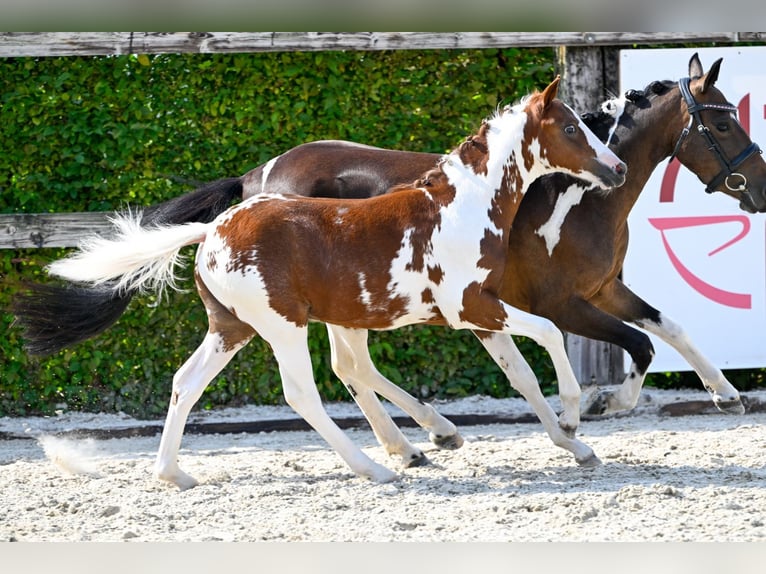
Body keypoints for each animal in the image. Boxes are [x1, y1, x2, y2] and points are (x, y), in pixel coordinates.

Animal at [42, 79, 628, 488]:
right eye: (572, 129)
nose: (618, 168)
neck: (459, 208)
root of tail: (214, 229)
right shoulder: (471, 308)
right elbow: (549, 334)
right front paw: (573, 420)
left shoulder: (482, 312)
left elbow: (522, 376)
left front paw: (576, 448)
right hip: (283, 325)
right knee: (304, 392)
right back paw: (378, 467)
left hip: (231, 328)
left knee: (187, 382)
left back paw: (174, 474)